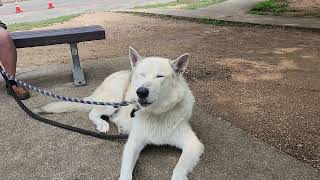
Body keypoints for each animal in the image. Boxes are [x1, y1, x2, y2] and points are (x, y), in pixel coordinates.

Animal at [35, 47, 205, 179]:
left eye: (160, 76)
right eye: (141, 75)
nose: (141, 92)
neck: (155, 114)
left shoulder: (193, 145)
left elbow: (178, 170)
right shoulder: (133, 143)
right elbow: (126, 171)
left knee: (113, 116)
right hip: (114, 100)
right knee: (94, 112)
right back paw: (102, 125)